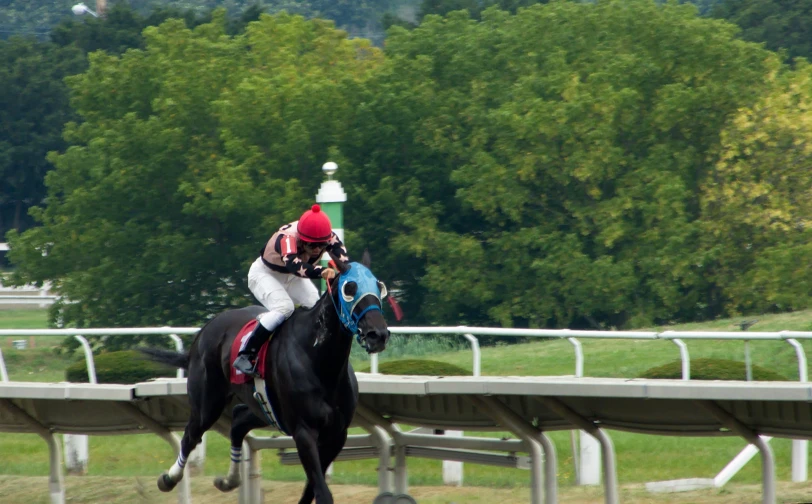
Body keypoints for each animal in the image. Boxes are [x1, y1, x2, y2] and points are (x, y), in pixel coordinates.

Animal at [140, 252, 390, 504]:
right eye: (349, 288)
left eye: (379, 286)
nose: (378, 335)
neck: (320, 361)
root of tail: (205, 329)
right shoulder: (304, 432)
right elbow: (321, 492)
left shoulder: (336, 435)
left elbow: (311, 490)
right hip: (207, 403)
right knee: (191, 435)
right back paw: (169, 478)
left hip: (262, 407)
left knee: (238, 420)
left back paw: (229, 479)